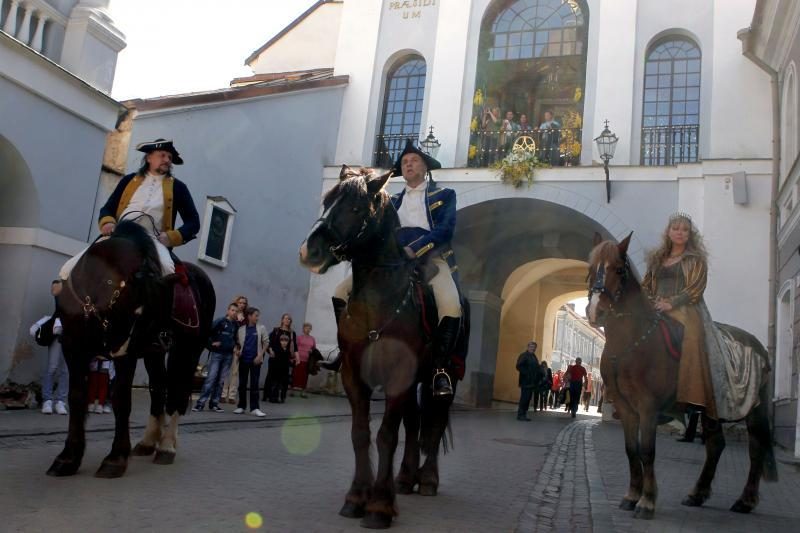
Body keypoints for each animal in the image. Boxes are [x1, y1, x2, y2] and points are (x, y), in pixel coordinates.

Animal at [47, 220, 216, 478]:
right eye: (138, 313)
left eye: (150, 314)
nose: (160, 337)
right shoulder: (73, 348)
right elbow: (76, 396)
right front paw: (68, 457)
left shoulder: (125, 355)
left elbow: (121, 399)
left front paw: (116, 458)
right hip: (154, 355)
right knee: (159, 388)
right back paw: (148, 441)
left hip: (186, 350)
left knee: (176, 392)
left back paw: (166, 445)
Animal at [300, 165, 466, 528]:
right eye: (327, 201)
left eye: (355, 207)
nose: (309, 252)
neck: (380, 299)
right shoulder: (353, 375)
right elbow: (361, 434)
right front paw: (356, 498)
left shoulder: (398, 376)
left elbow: (386, 436)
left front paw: (379, 506)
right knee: (415, 423)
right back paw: (405, 478)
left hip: (445, 377)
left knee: (433, 425)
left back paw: (427, 479)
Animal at [584, 232, 780, 516]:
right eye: (591, 269)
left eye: (619, 269)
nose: (595, 311)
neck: (631, 342)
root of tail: (760, 347)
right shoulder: (626, 407)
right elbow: (631, 451)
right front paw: (631, 495)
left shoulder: (648, 407)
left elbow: (647, 451)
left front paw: (647, 500)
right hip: (711, 410)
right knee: (716, 445)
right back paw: (697, 493)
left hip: (755, 410)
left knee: (756, 450)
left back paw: (745, 500)